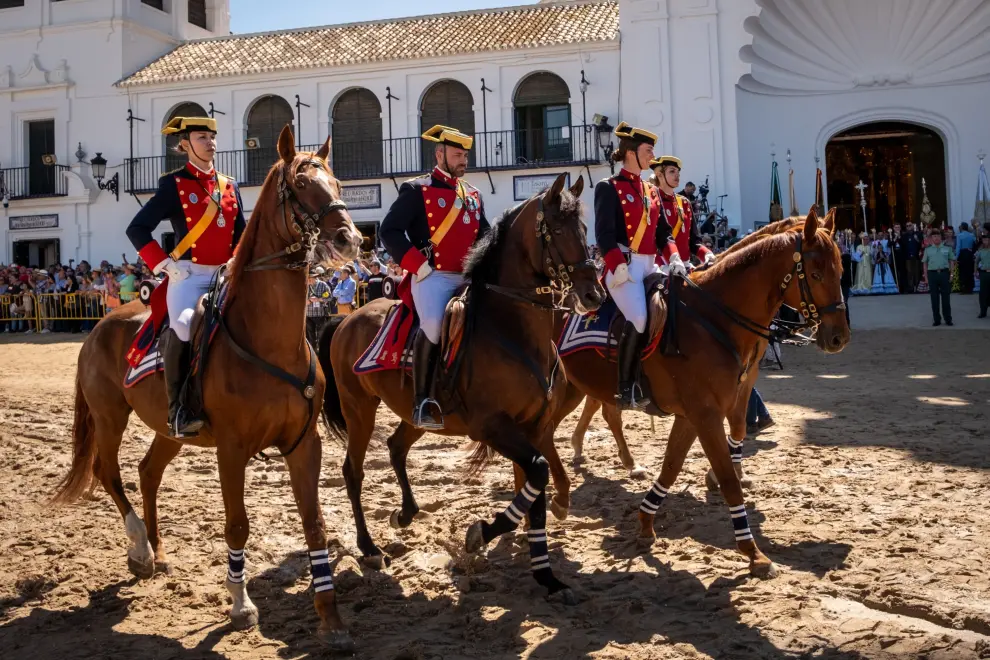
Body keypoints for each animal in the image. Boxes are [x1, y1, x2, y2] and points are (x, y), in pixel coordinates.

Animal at [52, 126, 362, 652]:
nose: (351, 239)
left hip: (168, 429)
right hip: (111, 416)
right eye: (302, 184)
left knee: (147, 471)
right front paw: (240, 605)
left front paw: (331, 617)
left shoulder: (305, 443)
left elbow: (315, 525)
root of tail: (101, 323)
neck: (269, 338)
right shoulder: (232, 448)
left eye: (338, 181)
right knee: (107, 470)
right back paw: (141, 550)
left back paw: (158, 550)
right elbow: (237, 524)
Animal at [322, 174, 608, 604]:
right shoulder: (491, 426)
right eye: (558, 230)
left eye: (586, 229)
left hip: (414, 414)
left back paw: (405, 512)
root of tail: (347, 318)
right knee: (352, 471)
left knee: (396, 446)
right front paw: (481, 534)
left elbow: (536, 489)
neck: (511, 330)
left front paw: (547, 575)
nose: (593, 295)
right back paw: (369, 547)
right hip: (359, 409)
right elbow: (538, 476)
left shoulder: (535, 428)